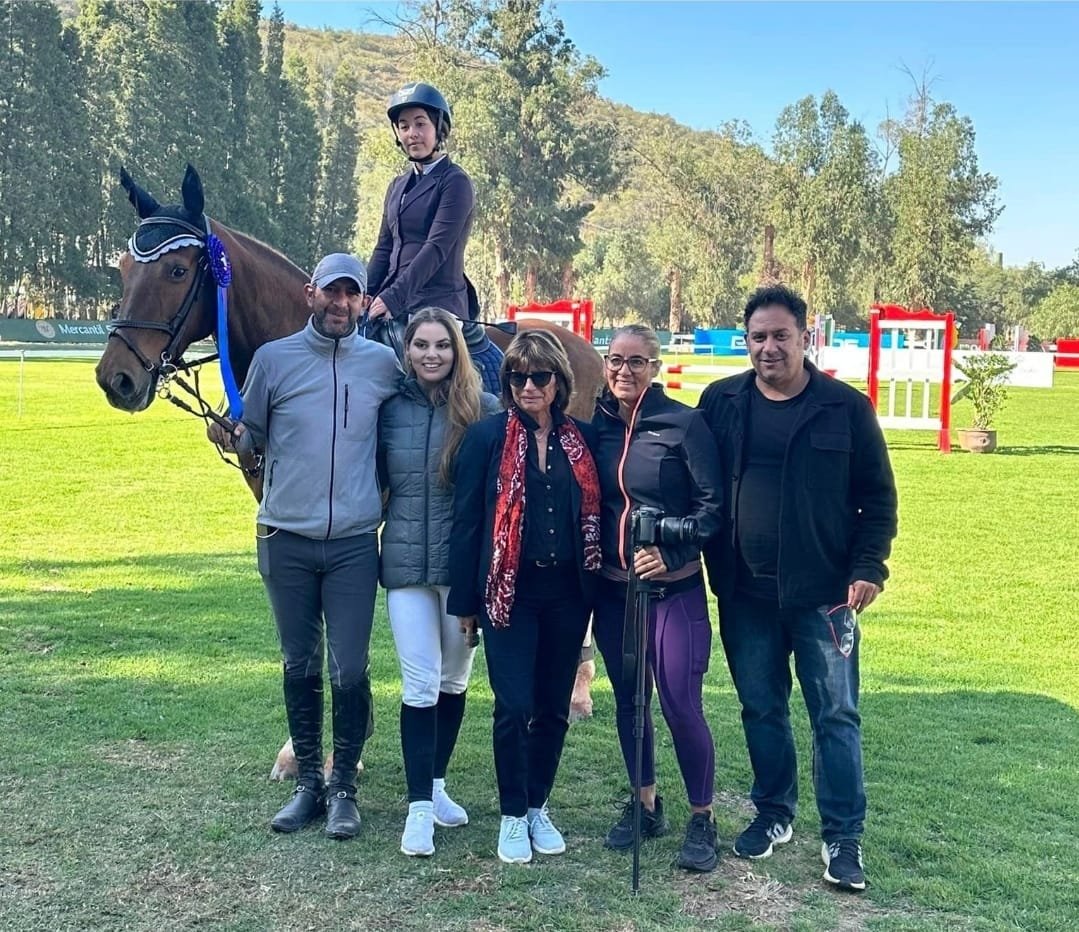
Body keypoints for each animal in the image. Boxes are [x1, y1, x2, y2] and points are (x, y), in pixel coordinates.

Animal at [96, 164, 600, 778]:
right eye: (124, 270)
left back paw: (576, 690)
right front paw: (308, 748)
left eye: (175, 270)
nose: (115, 378)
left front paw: (343, 748)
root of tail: (581, 345)